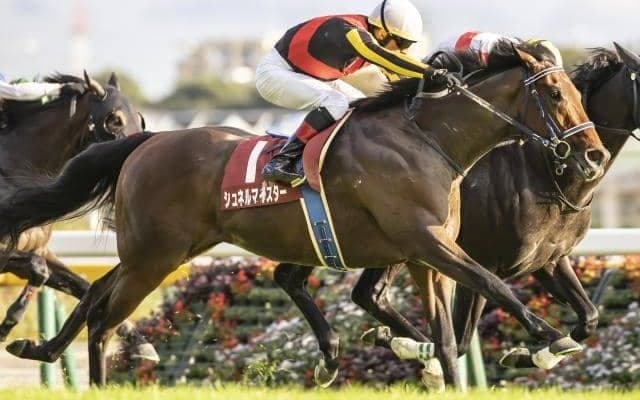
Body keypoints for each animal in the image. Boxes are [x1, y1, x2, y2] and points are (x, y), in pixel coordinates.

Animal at [0, 72, 157, 360]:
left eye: (139, 118)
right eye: (114, 119)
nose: (137, 158)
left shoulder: (40, 248)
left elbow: (78, 284)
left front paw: (140, 342)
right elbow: (39, 270)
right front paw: (8, 323)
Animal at [272, 43, 640, 389]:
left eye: (576, 96)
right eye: (555, 94)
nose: (595, 156)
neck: (546, 171)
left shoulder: (548, 259)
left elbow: (589, 316)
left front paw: (529, 354)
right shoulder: (480, 259)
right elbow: (465, 335)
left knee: (349, 290)